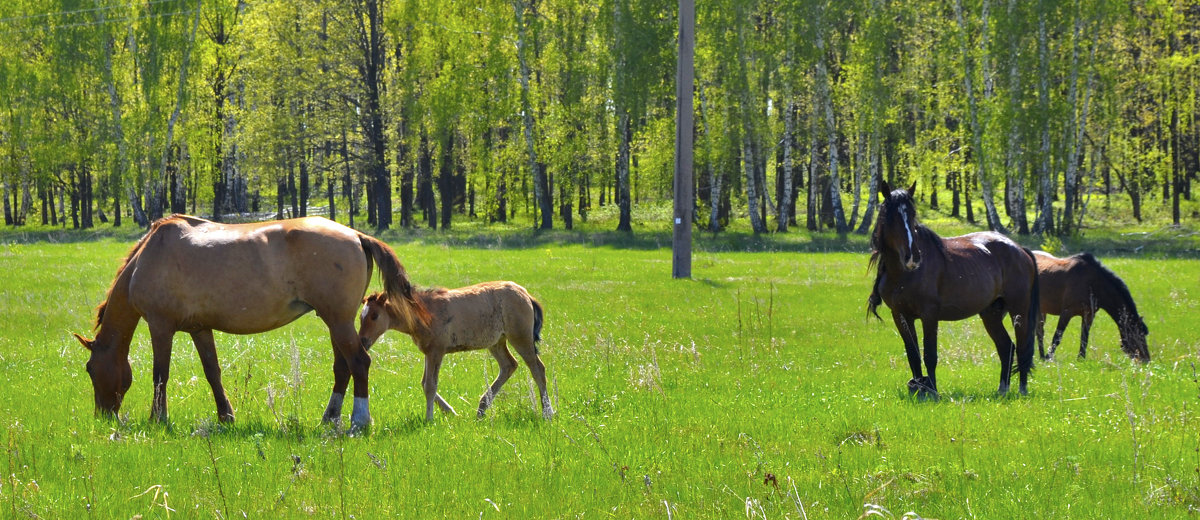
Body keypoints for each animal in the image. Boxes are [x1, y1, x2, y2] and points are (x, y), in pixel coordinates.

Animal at [72, 212, 429, 427]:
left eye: (90, 369)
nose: (102, 417)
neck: (149, 256)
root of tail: (356, 235)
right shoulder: (199, 329)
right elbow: (212, 373)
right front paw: (226, 416)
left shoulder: (161, 327)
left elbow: (161, 374)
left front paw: (157, 419)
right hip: (336, 321)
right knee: (343, 367)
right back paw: (330, 417)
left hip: (338, 320)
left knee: (359, 362)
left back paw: (359, 420)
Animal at [873, 182, 1041, 396]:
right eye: (891, 216)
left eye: (912, 214)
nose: (913, 257)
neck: (903, 275)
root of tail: (1020, 249)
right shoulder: (901, 315)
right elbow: (913, 354)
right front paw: (919, 388)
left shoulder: (929, 315)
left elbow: (930, 355)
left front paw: (933, 391)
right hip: (991, 314)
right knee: (1007, 348)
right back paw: (1002, 390)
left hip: (1019, 310)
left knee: (1021, 347)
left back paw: (1022, 390)